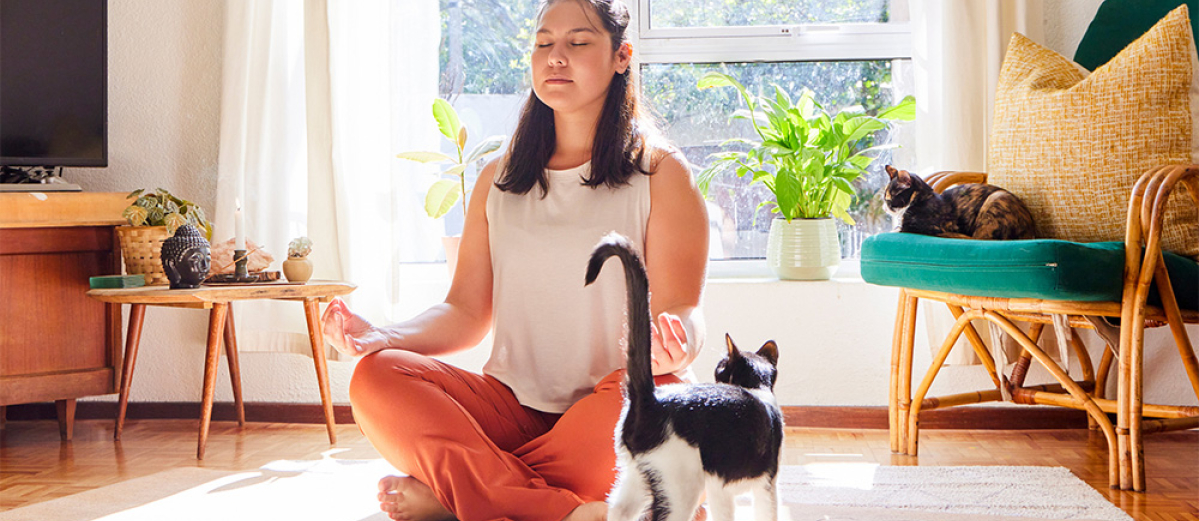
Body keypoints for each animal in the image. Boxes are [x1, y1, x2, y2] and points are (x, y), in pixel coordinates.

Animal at [582, 234, 786, 521]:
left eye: (719, 369)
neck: (754, 388)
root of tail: (650, 399)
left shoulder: (719, 486)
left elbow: (723, 515)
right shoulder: (767, 482)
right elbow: (766, 513)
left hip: (635, 477)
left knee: (619, 509)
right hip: (682, 483)